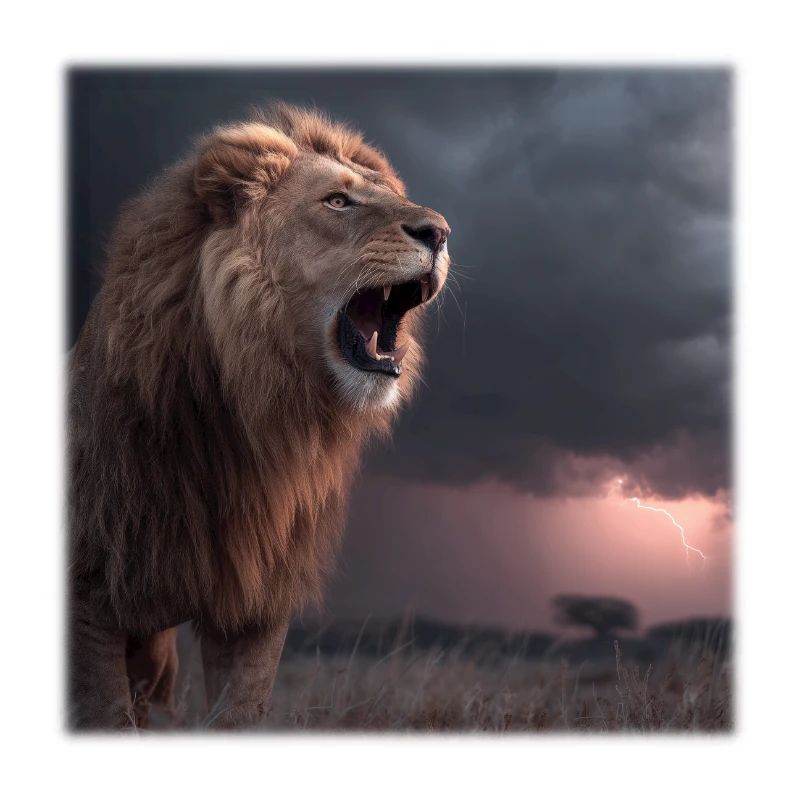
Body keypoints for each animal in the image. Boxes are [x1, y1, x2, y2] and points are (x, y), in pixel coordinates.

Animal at [68, 104, 450, 729]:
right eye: (337, 201)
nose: (440, 232)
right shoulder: (91, 599)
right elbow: (105, 714)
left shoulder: (256, 603)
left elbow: (240, 712)